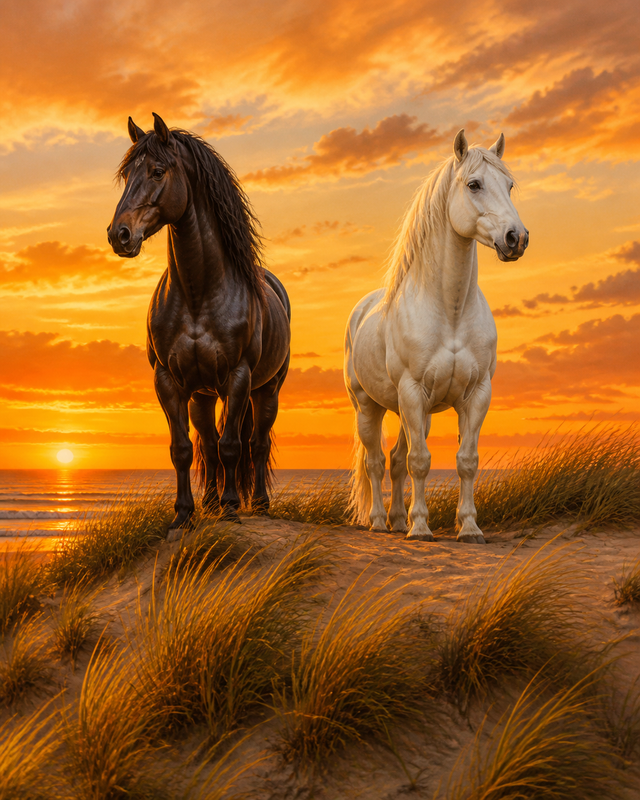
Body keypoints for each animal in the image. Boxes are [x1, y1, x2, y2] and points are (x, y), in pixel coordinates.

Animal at [107, 113, 291, 535]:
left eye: (158, 171)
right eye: (126, 176)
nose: (119, 235)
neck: (198, 294)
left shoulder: (238, 378)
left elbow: (232, 447)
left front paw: (230, 508)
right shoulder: (168, 382)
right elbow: (183, 449)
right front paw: (184, 514)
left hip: (267, 389)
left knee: (256, 444)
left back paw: (258, 504)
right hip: (203, 395)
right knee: (207, 442)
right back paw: (208, 502)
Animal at [345, 130, 528, 543]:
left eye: (509, 185)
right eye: (474, 184)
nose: (517, 238)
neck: (451, 312)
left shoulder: (476, 395)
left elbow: (466, 461)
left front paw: (470, 528)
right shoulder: (413, 391)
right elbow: (420, 461)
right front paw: (421, 528)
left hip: (410, 412)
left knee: (395, 462)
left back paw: (397, 521)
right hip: (370, 406)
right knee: (376, 463)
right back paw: (380, 521)